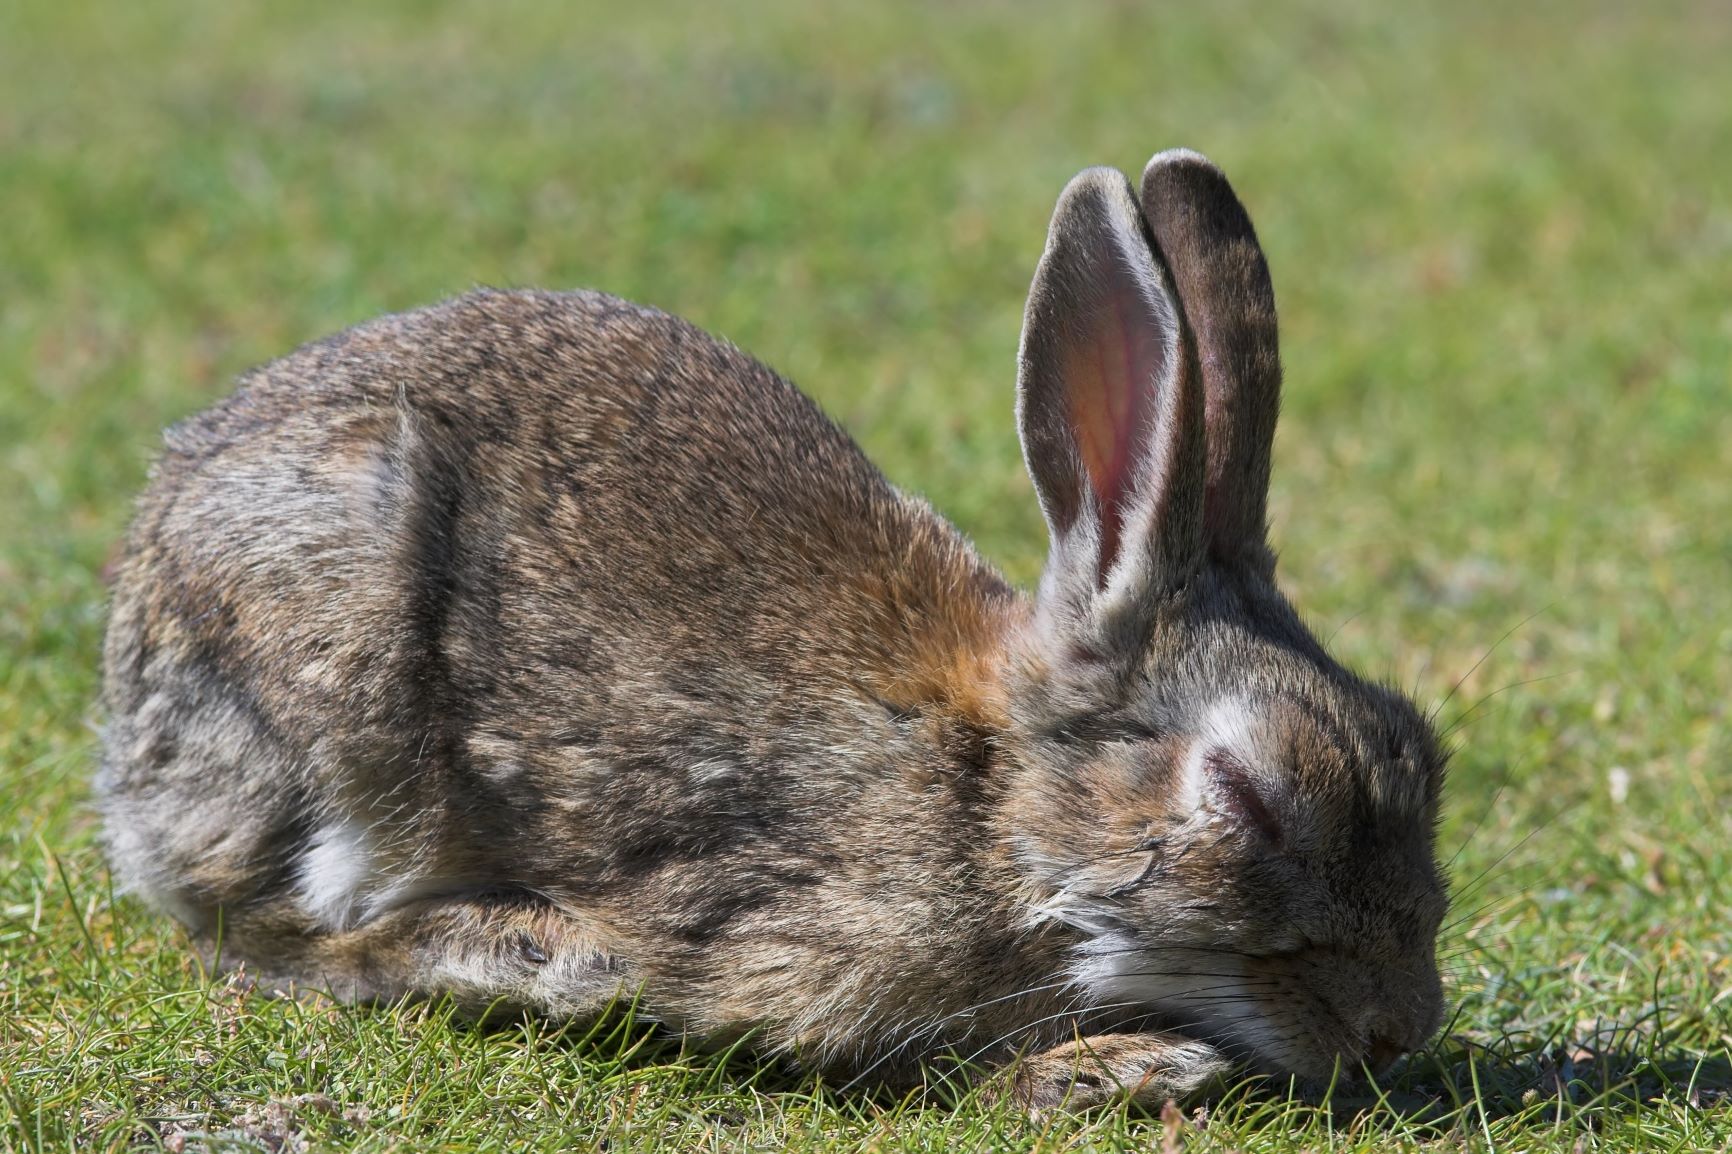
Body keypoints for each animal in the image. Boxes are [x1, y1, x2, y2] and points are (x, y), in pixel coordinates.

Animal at [94, 148, 1447, 1108]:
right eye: (1250, 796)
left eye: (1422, 752)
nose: (1398, 1028)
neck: (987, 795)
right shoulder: (781, 939)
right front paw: (1117, 1068)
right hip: (342, 668)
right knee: (271, 932)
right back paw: (536, 954)